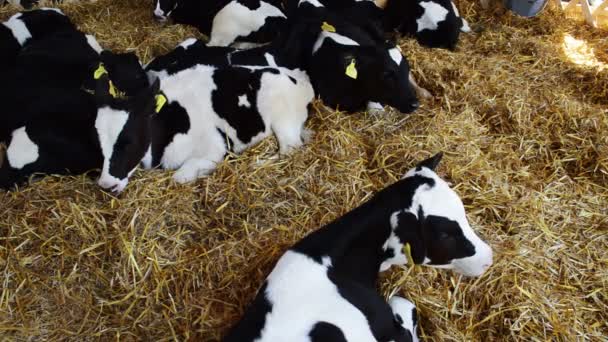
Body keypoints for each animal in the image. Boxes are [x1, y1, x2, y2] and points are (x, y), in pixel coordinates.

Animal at [96, 62, 314, 192]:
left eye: (129, 142)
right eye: (98, 144)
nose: (106, 186)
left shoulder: (213, 149)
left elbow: (179, 177)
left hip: (283, 121)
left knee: (289, 150)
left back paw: (257, 163)